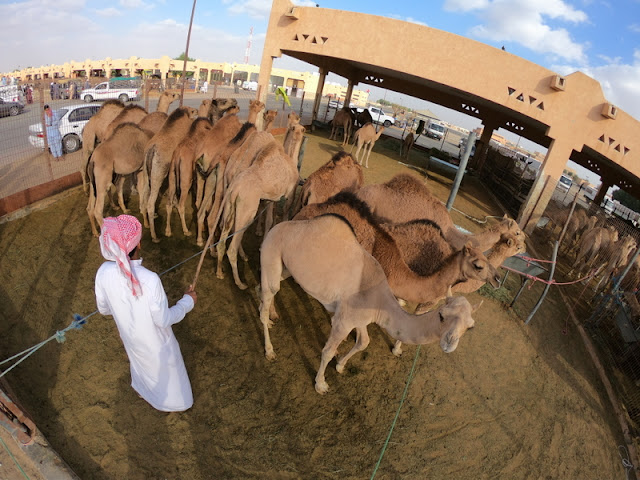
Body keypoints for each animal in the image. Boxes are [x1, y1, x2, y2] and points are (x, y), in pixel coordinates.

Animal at [141, 107, 199, 242]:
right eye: (193, 112)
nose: (197, 111)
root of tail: (151, 151)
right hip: (158, 174)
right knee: (151, 202)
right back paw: (155, 236)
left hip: (147, 174)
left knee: (144, 196)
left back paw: (146, 223)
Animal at [214, 124, 306, 288]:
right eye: (303, 130)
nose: (303, 130)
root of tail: (235, 185)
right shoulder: (289, 196)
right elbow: (283, 218)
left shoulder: (270, 199)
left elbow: (269, 221)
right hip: (247, 209)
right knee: (232, 246)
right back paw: (240, 282)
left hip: (229, 202)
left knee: (224, 233)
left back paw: (220, 271)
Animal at [256, 214, 480, 394]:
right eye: (442, 315)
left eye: (470, 327)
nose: (449, 343)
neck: (380, 299)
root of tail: (277, 226)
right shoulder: (344, 320)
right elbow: (328, 351)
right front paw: (321, 384)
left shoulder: (361, 317)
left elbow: (363, 342)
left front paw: (340, 366)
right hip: (271, 251)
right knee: (269, 292)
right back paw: (269, 350)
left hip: (285, 268)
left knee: (266, 289)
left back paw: (269, 317)